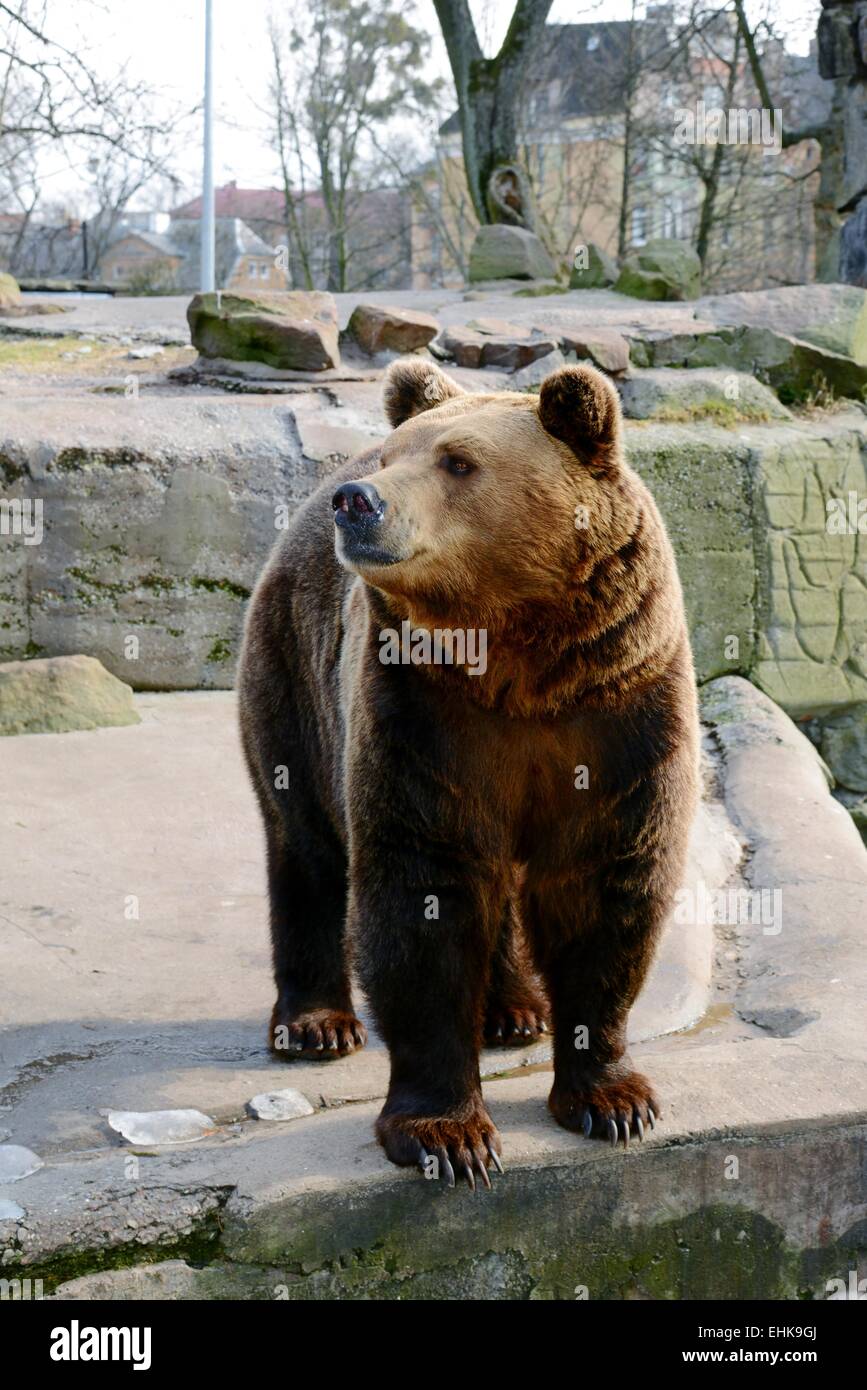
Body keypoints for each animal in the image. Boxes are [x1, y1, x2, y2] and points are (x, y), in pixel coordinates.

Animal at [238, 359, 699, 1188]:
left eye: (457, 462)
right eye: (393, 456)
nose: (357, 501)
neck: (518, 661)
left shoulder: (622, 704)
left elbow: (604, 884)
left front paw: (613, 1099)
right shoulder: (419, 713)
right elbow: (424, 884)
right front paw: (447, 1136)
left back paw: (514, 1008)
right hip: (293, 671)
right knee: (305, 842)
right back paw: (316, 1022)